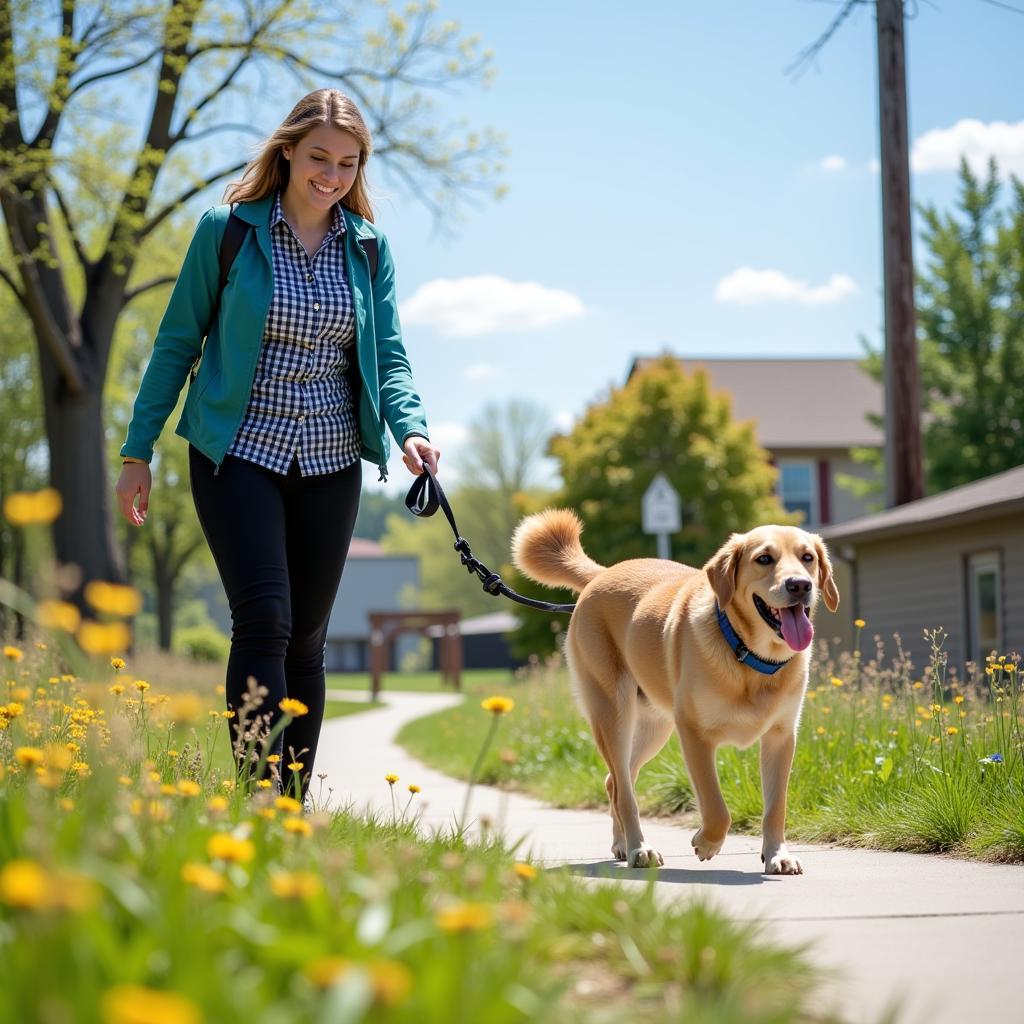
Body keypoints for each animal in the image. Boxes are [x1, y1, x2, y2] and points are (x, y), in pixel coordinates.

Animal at [512, 516, 839, 876]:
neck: (749, 657)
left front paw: (777, 854)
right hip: (613, 716)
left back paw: (622, 844)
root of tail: (602, 575)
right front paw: (706, 843)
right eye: (764, 559)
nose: (800, 585)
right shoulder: (694, 734)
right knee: (625, 792)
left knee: (615, 780)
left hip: (653, 728)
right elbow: (716, 807)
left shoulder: (781, 737)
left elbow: (775, 806)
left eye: (807, 557)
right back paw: (639, 848)